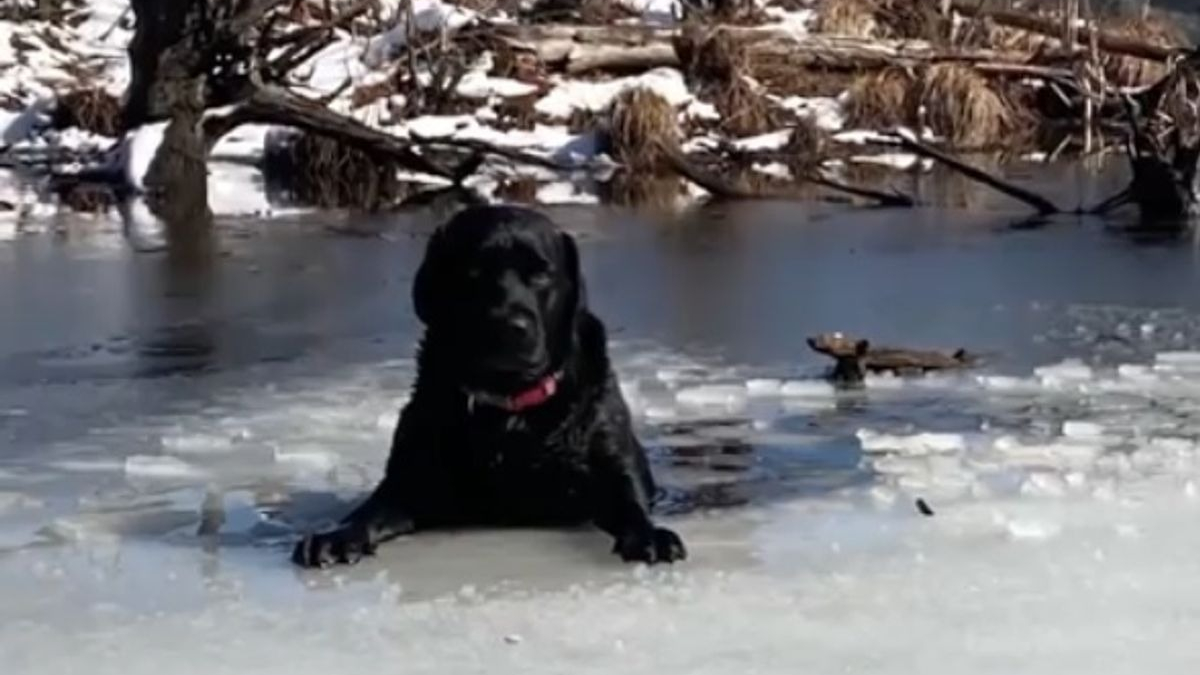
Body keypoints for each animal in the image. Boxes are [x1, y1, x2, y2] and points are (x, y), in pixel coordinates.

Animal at [290, 201, 686, 564]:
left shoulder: (611, 461)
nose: (510, 325)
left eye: (541, 273)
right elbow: (370, 511)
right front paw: (337, 537)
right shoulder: (409, 478)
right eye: (473, 272)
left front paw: (650, 535)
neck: (511, 407)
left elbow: (630, 503)